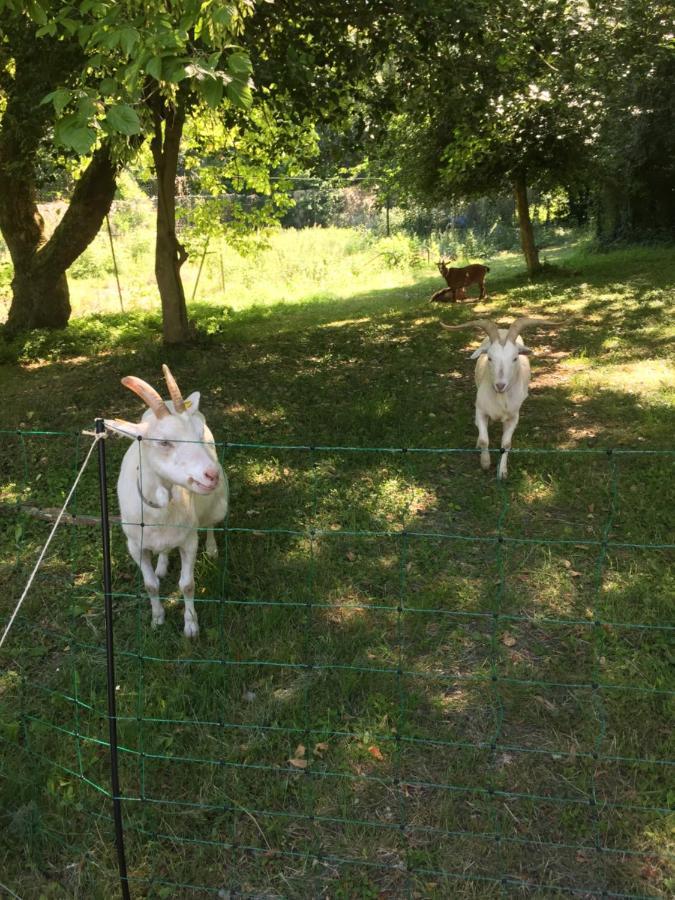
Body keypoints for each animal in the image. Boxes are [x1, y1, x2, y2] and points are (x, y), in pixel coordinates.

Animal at [105, 364, 230, 632]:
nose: (212, 475)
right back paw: (162, 565)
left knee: (211, 523)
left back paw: (212, 548)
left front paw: (191, 626)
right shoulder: (135, 546)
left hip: (218, 505)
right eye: (163, 442)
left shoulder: (189, 540)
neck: (158, 511)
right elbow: (150, 585)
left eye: (198, 434)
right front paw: (157, 618)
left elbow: (187, 584)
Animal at [444, 320, 556, 482]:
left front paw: (502, 472)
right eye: (490, 358)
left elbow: (506, 444)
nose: (500, 385)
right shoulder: (481, 410)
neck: (500, 398)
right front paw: (485, 463)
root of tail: (503, 330)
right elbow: (484, 439)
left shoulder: (513, 417)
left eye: (515, 358)